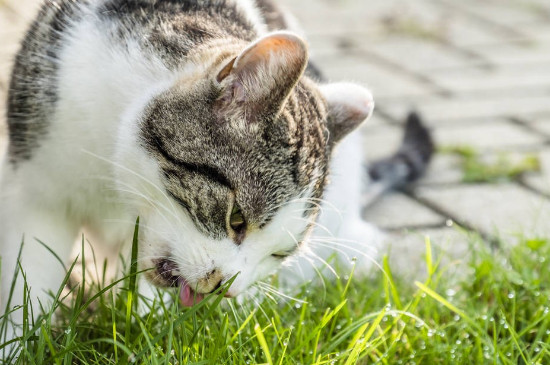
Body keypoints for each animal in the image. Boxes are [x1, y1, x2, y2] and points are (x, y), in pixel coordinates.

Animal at [0, 0, 432, 350]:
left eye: (278, 254)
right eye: (236, 219)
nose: (226, 287)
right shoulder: (36, 188)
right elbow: (26, 285)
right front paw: (18, 344)